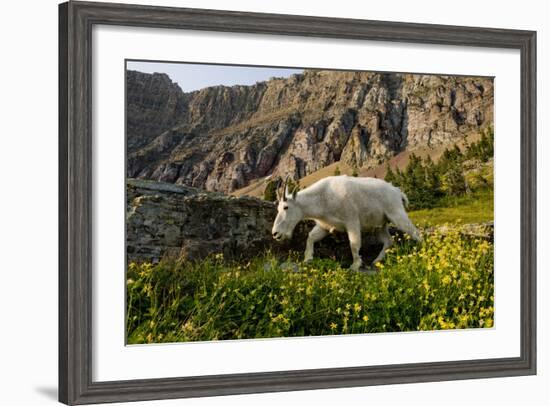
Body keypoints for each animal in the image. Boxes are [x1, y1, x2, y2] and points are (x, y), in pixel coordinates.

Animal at [272, 176, 422, 272]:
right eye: (277, 208)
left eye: (286, 207)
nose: (275, 233)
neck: (322, 199)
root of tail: (398, 192)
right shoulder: (324, 226)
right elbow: (311, 237)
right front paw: (307, 259)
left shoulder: (352, 221)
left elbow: (354, 244)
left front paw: (355, 266)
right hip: (380, 225)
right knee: (388, 240)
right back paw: (376, 261)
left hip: (396, 213)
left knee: (415, 233)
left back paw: (422, 252)